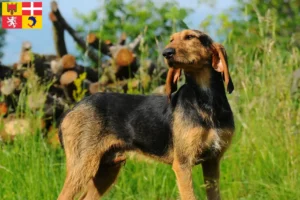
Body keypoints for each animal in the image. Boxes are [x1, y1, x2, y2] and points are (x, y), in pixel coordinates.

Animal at [56, 29, 234, 200]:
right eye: (171, 39)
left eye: (190, 37)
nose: (166, 53)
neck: (206, 100)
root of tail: (72, 110)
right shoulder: (183, 164)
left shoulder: (212, 162)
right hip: (82, 165)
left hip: (107, 169)